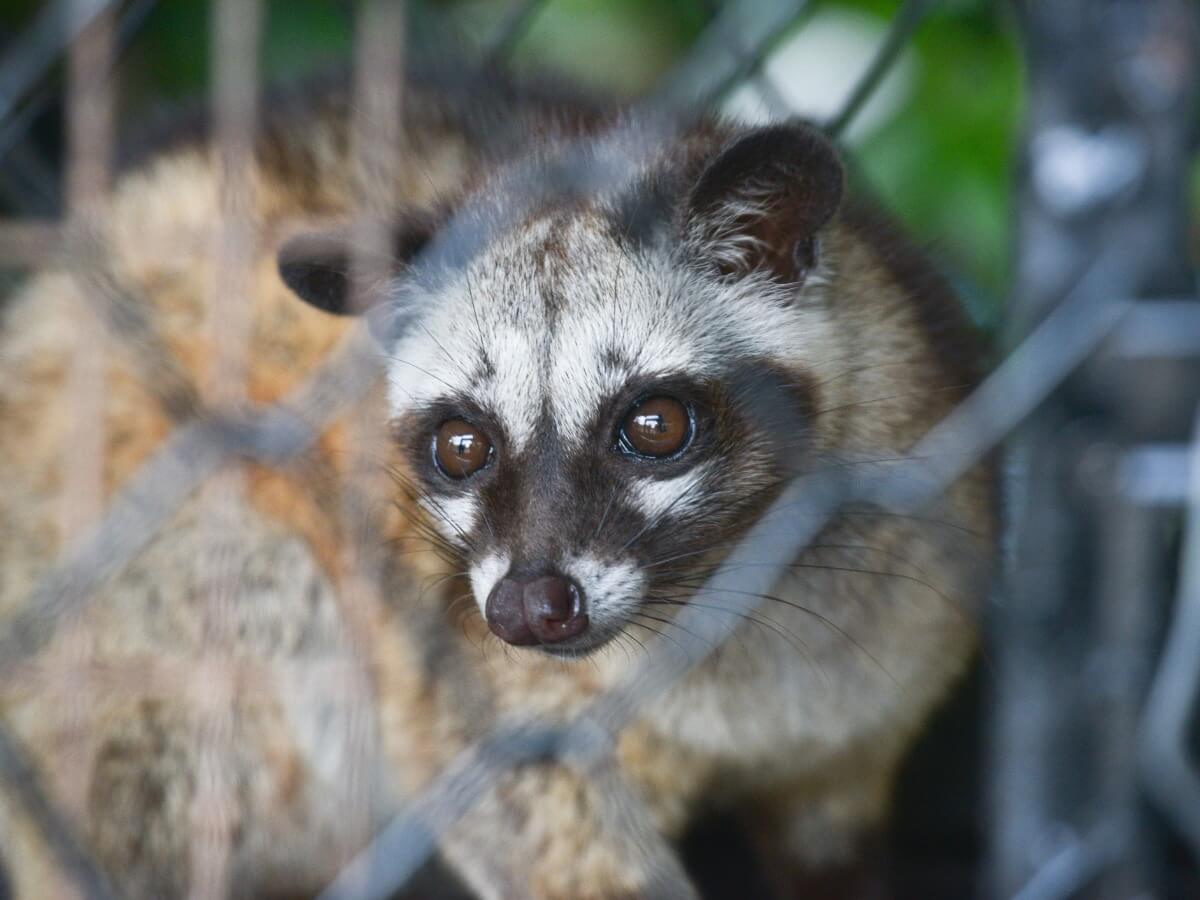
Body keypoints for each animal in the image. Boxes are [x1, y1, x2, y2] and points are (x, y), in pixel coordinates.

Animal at [0, 69, 995, 899]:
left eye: (656, 426)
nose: (526, 607)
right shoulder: (489, 696)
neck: (735, 585)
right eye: (461, 445)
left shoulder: (895, 641)